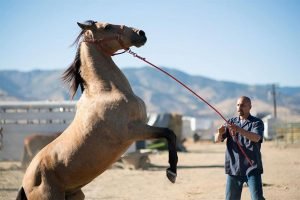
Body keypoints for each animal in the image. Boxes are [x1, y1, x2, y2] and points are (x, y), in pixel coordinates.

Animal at [17, 21, 178, 199]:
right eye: (107, 26)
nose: (141, 33)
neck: (106, 91)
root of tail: (26, 183)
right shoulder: (133, 131)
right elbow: (169, 133)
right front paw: (171, 172)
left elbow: (170, 134)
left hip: (75, 195)